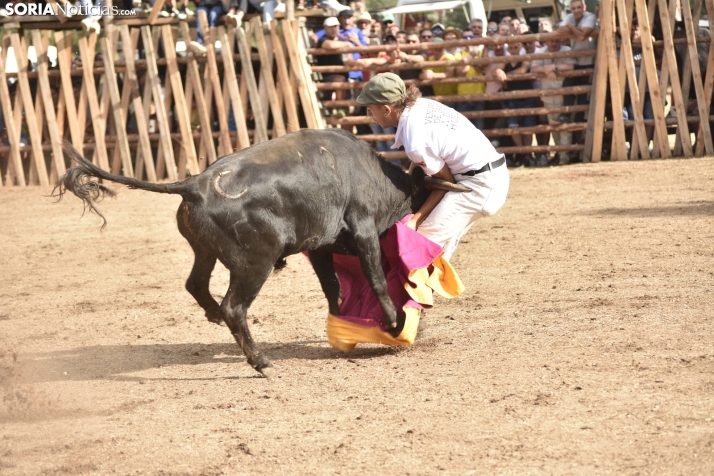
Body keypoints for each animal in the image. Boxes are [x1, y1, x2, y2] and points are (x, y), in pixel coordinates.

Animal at [55, 128, 468, 378]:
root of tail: (194, 184)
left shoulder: (321, 247)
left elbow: (332, 289)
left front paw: (342, 326)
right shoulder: (363, 231)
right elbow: (377, 281)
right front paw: (394, 323)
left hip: (205, 251)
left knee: (196, 285)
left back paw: (215, 318)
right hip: (255, 263)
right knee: (234, 306)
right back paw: (260, 361)